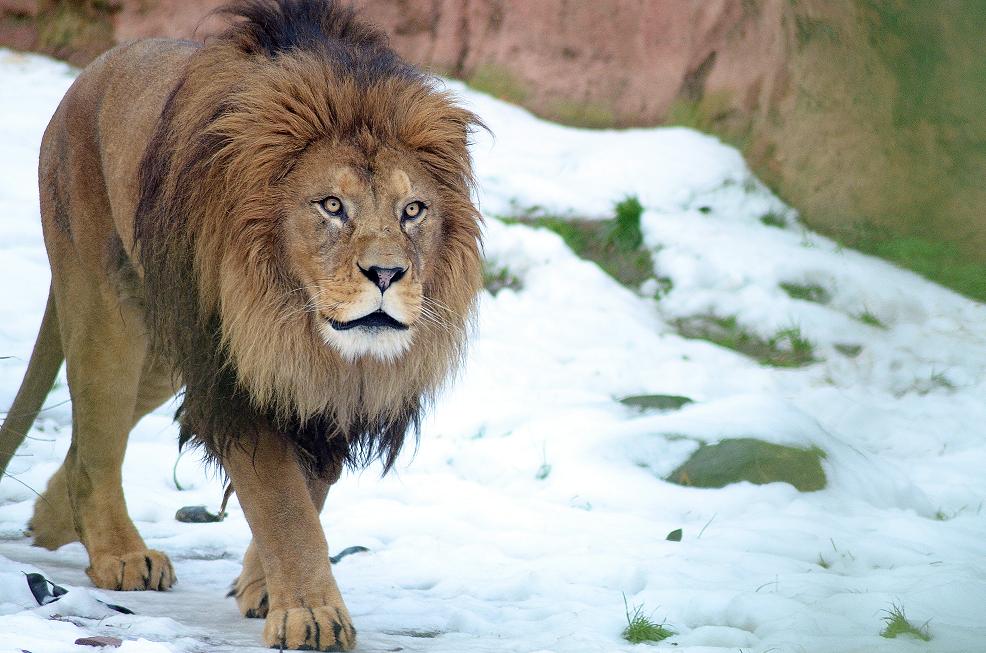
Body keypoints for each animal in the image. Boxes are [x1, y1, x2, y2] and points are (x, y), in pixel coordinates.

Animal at [0, 0, 480, 648]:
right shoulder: (230, 382)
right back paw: (119, 554)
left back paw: (51, 523)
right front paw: (311, 613)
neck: (301, 332)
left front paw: (267, 589)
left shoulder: (322, 400)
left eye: (413, 211)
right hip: (109, 306)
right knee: (98, 436)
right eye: (332, 206)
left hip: (167, 354)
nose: (387, 272)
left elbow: (309, 495)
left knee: (91, 440)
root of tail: (91, 72)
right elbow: (282, 501)